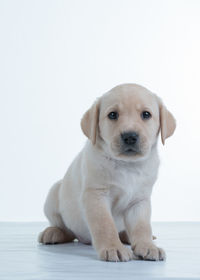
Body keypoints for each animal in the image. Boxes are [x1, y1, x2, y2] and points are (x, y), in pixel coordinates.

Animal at [38, 83, 176, 262]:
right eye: (112, 115)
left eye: (146, 114)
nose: (130, 136)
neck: (127, 166)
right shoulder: (96, 195)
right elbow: (105, 225)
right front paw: (113, 247)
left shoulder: (139, 201)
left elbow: (142, 227)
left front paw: (147, 245)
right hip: (54, 195)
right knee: (65, 229)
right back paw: (53, 232)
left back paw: (128, 236)